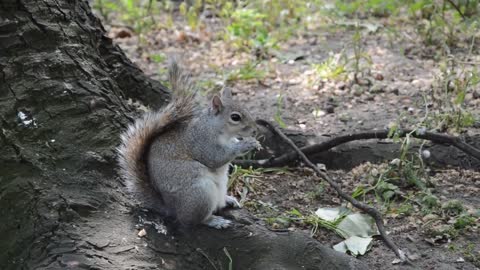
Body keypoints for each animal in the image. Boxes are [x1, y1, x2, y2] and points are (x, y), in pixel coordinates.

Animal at [117, 60, 258, 229]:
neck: (217, 129)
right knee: (192, 221)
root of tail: (171, 208)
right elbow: (215, 158)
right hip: (199, 193)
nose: (255, 129)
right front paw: (246, 144)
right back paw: (214, 220)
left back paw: (228, 200)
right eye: (235, 117)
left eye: (247, 109)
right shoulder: (201, 142)